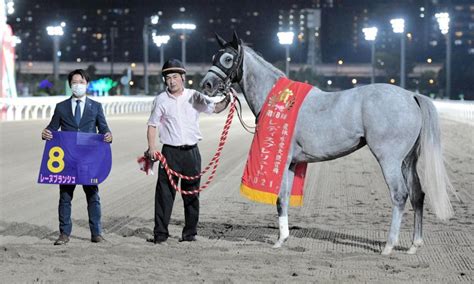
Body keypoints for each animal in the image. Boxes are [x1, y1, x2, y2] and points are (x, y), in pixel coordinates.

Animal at [199, 33, 452, 255]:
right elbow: (285, 198)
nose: (207, 85)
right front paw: (283, 238)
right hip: (408, 161)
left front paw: (278, 241)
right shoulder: (292, 163)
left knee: (400, 195)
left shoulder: (283, 159)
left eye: (228, 58)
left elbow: (279, 197)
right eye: (213, 57)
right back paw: (414, 245)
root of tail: (411, 96)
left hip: (389, 160)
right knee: (418, 194)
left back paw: (389, 246)